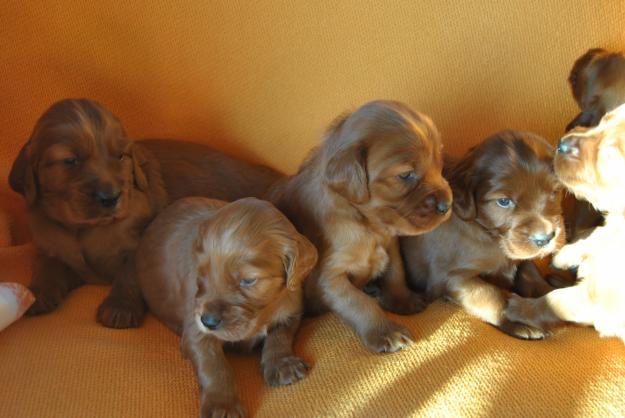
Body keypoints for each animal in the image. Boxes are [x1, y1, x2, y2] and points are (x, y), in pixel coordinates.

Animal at [9, 99, 166, 328]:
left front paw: (120, 307)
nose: (110, 197)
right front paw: (37, 294)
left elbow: (130, 274)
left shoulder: (141, 243)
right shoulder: (50, 249)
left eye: (121, 156)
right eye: (70, 160)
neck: (84, 228)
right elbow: (46, 267)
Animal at [133, 197, 314, 418]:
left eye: (248, 280)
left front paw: (282, 363)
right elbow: (214, 367)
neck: (263, 312)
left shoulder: (292, 310)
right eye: (201, 274)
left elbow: (280, 336)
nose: (208, 321)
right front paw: (223, 405)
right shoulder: (196, 331)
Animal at [266, 101, 450, 352]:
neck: (368, 225)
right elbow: (359, 303)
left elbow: (396, 274)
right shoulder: (329, 276)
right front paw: (386, 332)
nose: (447, 205)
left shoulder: (391, 246)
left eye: (439, 163)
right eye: (405, 175)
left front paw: (403, 301)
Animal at [400, 131, 564, 340]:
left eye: (555, 192)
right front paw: (519, 323)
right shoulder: (450, 276)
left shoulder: (519, 258)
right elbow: (491, 295)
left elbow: (531, 275)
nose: (545, 238)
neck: (489, 236)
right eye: (504, 201)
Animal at [504, 103, 624, 342]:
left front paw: (520, 307)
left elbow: (555, 302)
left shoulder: (597, 300)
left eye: (609, 155)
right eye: (603, 120)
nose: (562, 143)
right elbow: (595, 235)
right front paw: (564, 256)